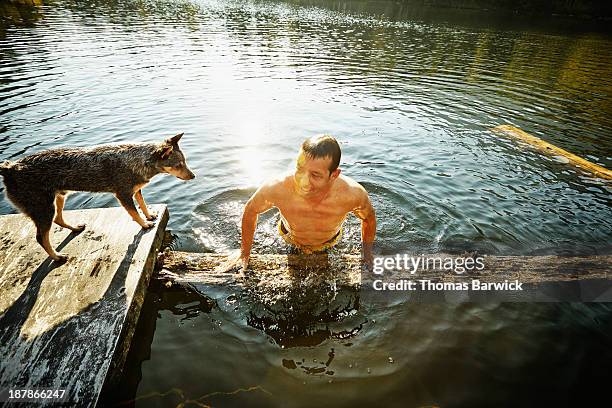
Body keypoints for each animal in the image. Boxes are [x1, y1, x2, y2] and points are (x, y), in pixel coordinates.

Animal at [0, 132, 195, 262]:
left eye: (184, 162)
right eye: (178, 164)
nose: (193, 176)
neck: (140, 160)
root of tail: (10, 168)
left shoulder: (136, 190)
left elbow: (142, 204)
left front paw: (149, 216)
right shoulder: (123, 194)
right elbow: (134, 212)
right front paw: (145, 224)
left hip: (59, 198)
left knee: (58, 219)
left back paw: (74, 228)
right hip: (43, 208)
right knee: (41, 238)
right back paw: (57, 256)